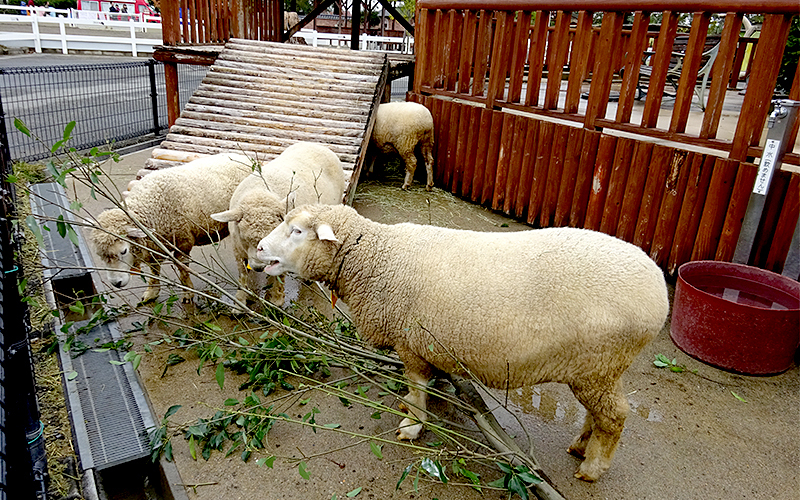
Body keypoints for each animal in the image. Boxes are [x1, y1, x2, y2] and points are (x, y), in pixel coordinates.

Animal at [92, 152, 258, 302]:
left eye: (124, 251)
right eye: (100, 255)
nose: (116, 283)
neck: (151, 208)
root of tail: (245, 157)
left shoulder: (183, 242)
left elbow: (182, 269)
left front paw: (188, 293)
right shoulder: (154, 244)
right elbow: (154, 269)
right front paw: (152, 292)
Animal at [209, 142, 344, 308]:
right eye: (245, 238)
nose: (258, 267)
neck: (260, 192)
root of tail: (317, 145)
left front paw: (276, 300)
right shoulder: (238, 248)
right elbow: (243, 275)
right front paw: (240, 302)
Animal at [256, 205, 668, 482]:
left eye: (296, 231)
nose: (259, 248)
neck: (376, 258)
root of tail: (659, 292)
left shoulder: (410, 343)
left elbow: (416, 387)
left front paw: (412, 424)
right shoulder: (425, 341)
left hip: (600, 363)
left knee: (614, 417)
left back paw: (592, 467)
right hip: (595, 368)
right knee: (597, 413)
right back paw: (581, 445)